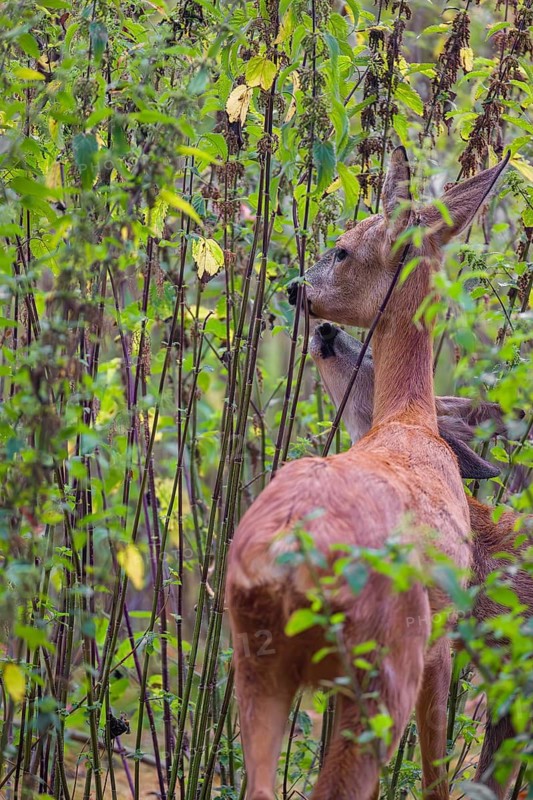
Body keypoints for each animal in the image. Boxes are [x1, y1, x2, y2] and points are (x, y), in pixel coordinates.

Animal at [227, 147, 509, 800]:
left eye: (343, 250)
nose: (296, 290)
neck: (408, 420)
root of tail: (290, 555)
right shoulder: (442, 641)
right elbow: (435, 773)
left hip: (257, 666)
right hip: (384, 665)